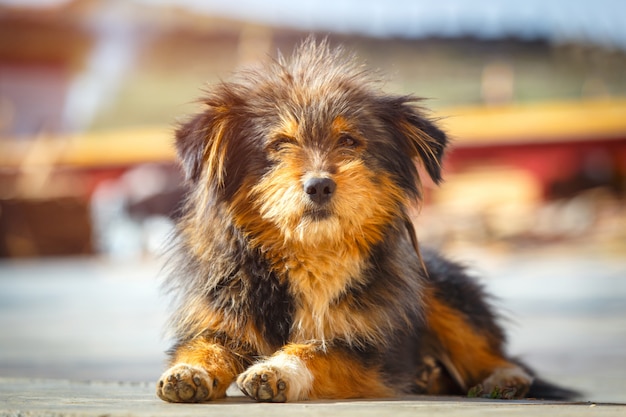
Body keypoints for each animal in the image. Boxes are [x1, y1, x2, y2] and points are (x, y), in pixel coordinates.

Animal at [156, 37, 576, 402]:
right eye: (279, 144)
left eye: (349, 141)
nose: (319, 186)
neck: (310, 254)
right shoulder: (219, 319)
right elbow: (203, 347)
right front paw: (189, 373)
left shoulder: (366, 348)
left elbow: (317, 349)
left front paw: (277, 369)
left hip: (445, 296)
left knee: (501, 358)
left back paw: (503, 381)